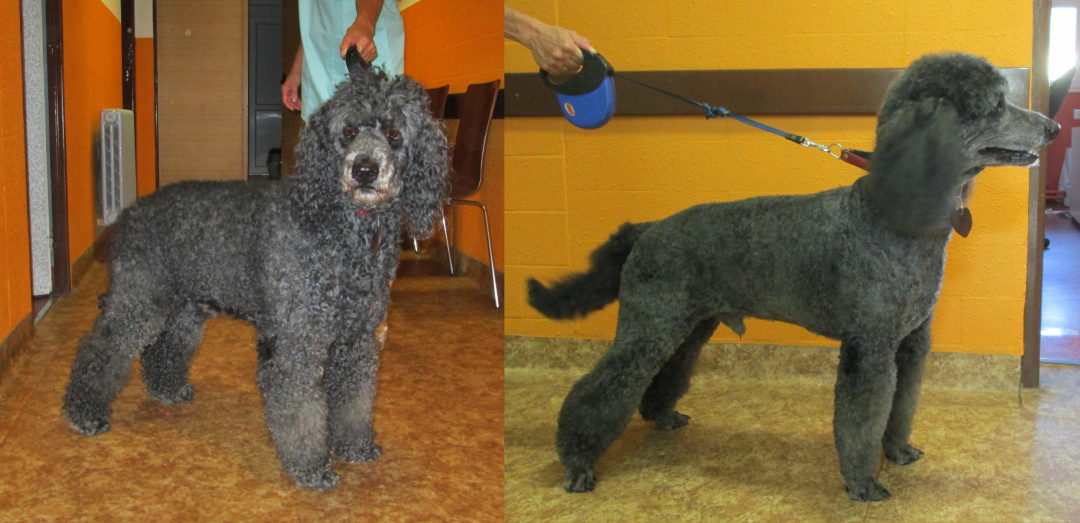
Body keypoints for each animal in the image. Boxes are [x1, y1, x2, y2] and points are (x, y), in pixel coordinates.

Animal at [527, 52, 1059, 501]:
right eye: (995, 105)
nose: (1052, 126)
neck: (891, 214)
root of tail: (648, 228)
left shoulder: (909, 343)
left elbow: (899, 407)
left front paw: (897, 452)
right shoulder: (870, 347)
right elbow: (862, 419)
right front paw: (863, 482)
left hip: (687, 327)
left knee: (662, 377)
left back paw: (661, 416)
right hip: (649, 326)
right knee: (599, 390)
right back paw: (577, 463)